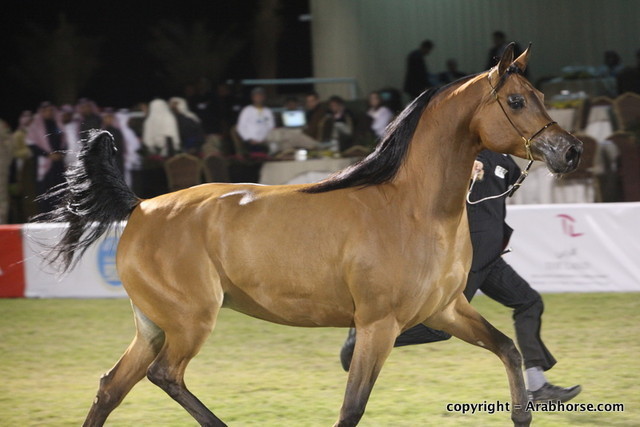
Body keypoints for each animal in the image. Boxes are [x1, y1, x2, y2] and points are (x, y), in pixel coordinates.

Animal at [46, 44, 581, 427]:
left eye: (542, 97)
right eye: (516, 100)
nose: (570, 150)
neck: (411, 209)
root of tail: (141, 206)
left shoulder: (446, 309)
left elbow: (508, 348)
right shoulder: (378, 326)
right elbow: (352, 408)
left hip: (153, 326)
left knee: (112, 387)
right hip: (189, 321)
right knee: (164, 375)